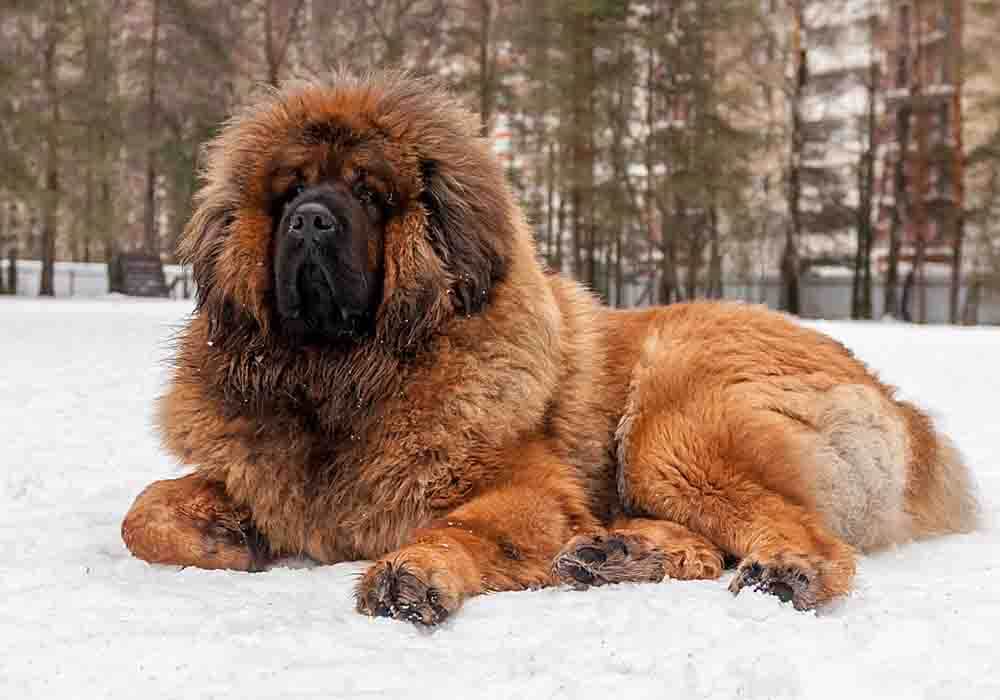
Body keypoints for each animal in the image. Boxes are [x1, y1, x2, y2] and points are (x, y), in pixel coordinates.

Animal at [121, 74, 980, 628]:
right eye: (290, 192)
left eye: (366, 193)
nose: (309, 220)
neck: (346, 381)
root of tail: (906, 414)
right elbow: (142, 513)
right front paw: (225, 536)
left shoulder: (529, 492)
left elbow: (462, 528)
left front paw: (413, 573)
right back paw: (621, 552)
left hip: (675, 426)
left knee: (809, 537)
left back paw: (781, 569)